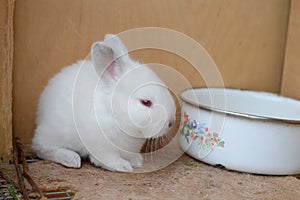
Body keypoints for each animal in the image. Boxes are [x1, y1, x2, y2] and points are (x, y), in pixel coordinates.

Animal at [31, 34, 176, 172]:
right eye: (146, 102)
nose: (171, 122)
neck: (115, 113)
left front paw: (137, 161)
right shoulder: (101, 146)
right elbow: (108, 158)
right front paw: (123, 166)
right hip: (55, 133)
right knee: (41, 148)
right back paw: (71, 159)